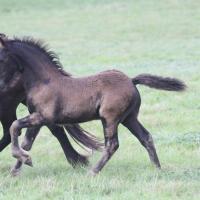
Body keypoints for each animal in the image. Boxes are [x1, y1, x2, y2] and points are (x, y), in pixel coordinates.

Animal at [0, 36, 186, 176]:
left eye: (1, 58)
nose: (2, 87)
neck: (44, 81)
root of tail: (132, 81)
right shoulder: (38, 118)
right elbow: (26, 142)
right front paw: (17, 169)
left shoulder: (43, 117)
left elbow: (14, 126)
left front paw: (24, 160)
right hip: (129, 118)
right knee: (145, 137)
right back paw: (157, 169)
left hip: (110, 118)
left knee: (112, 145)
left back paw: (93, 172)